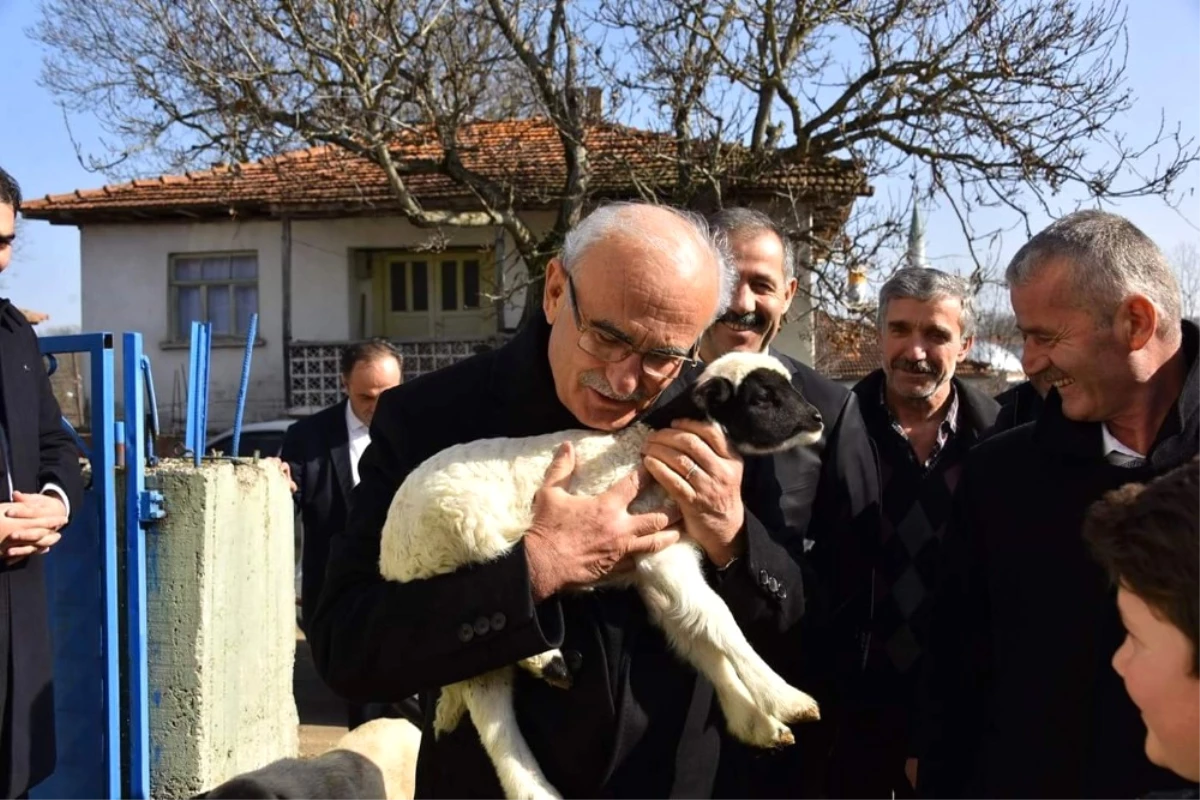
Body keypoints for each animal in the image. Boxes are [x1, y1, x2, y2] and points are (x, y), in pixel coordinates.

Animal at [381, 352, 825, 800]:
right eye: (763, 398)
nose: (817, 418)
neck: (645, 445)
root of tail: (390, 554)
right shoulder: (658, 552)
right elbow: (717, 619)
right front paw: (786, 699)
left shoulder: (660, 567)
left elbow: (696, 633)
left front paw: (756, 723)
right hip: (463, 533)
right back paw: (549, 663)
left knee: (490, 701)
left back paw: (536, 784)